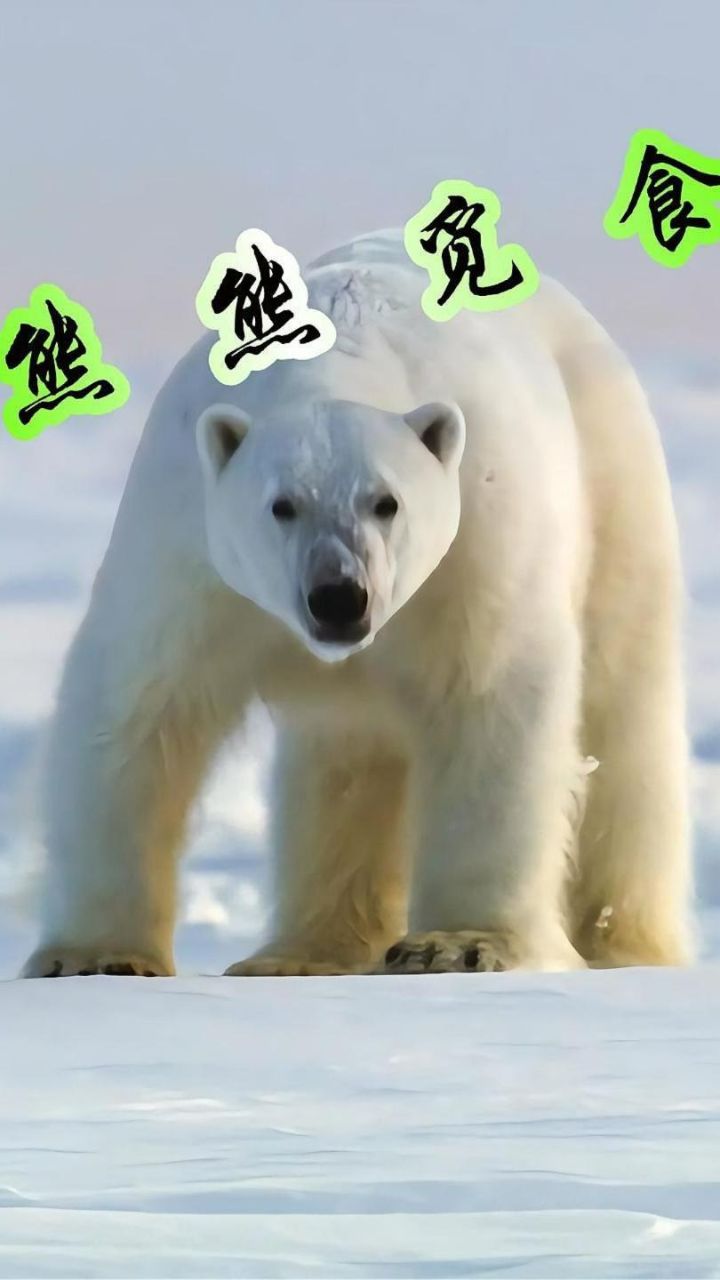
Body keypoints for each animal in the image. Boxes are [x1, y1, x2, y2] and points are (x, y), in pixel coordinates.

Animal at [21, 229, 693, 979]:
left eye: (386, 501)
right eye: (281, 505)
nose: (339, 597)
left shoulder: (475, 548)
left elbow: (490, 702)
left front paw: (458, 944)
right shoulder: (190, 552)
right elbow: (140, 707)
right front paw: (93, 958)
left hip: (615, 484)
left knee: (622, 715)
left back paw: (622, 943)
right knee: (345, 760)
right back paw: (299, 954)